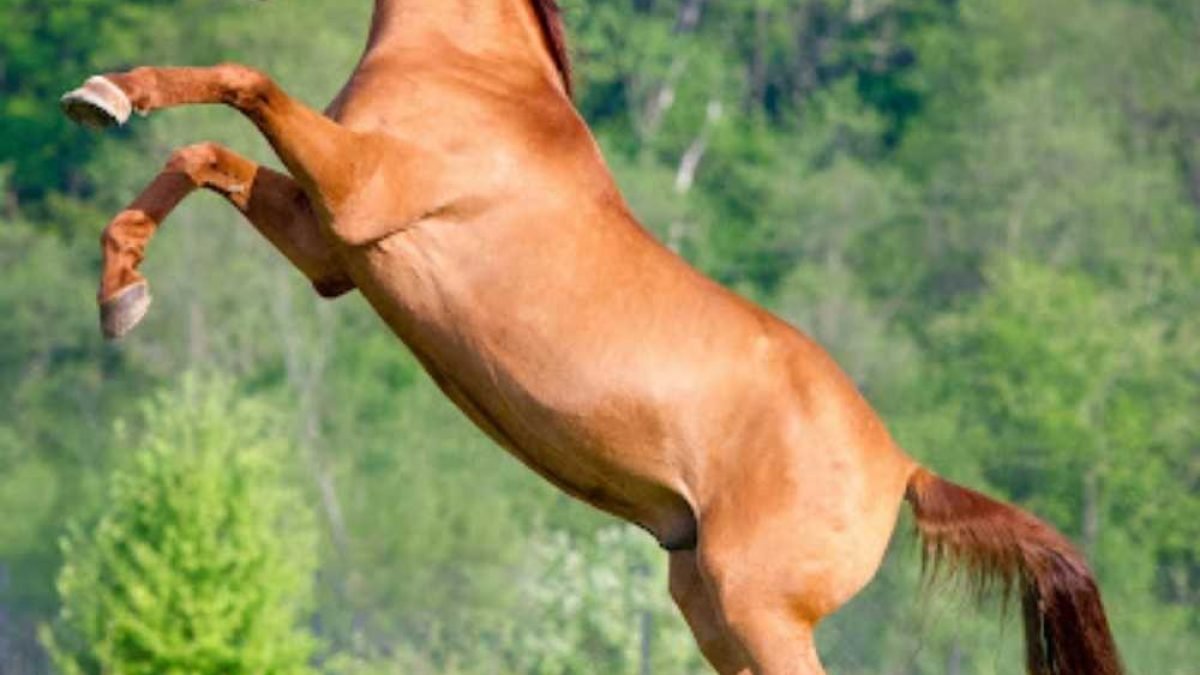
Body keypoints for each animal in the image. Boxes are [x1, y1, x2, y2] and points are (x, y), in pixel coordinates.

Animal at [60, 1, 1122, 673]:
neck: (475, 73)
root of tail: (902, 465)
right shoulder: (332, 250)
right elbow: (200, 155)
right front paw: (122, 289)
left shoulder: (356, 194)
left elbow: (242, 83)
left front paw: (106, 92)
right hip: (707, 605)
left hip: (757, 609)